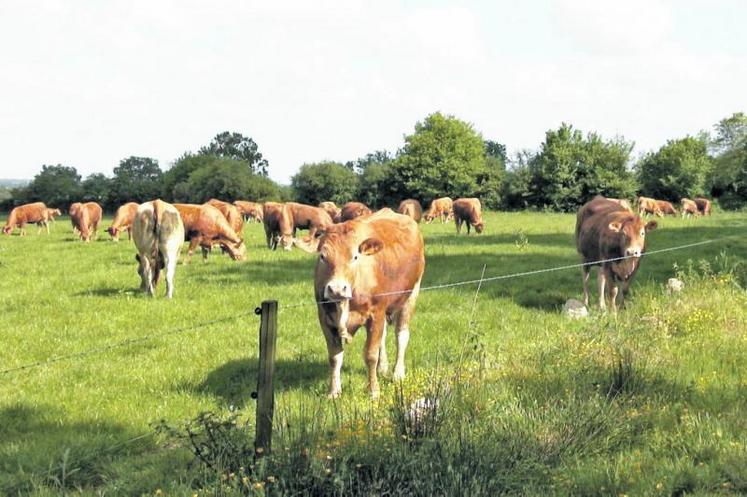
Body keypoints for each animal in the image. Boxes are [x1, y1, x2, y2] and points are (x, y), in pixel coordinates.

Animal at [296, 207, 430, 398]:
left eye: (355, 257)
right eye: (322, 256)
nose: (337, 289)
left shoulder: (376, 313)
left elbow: (370, 355)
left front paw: (373, 391)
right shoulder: (325, 317)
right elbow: (334, 357)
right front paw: (333, 391)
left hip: (411, 294)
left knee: (401, 335)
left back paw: (398, 373)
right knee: (384, 337)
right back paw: (383, 368)